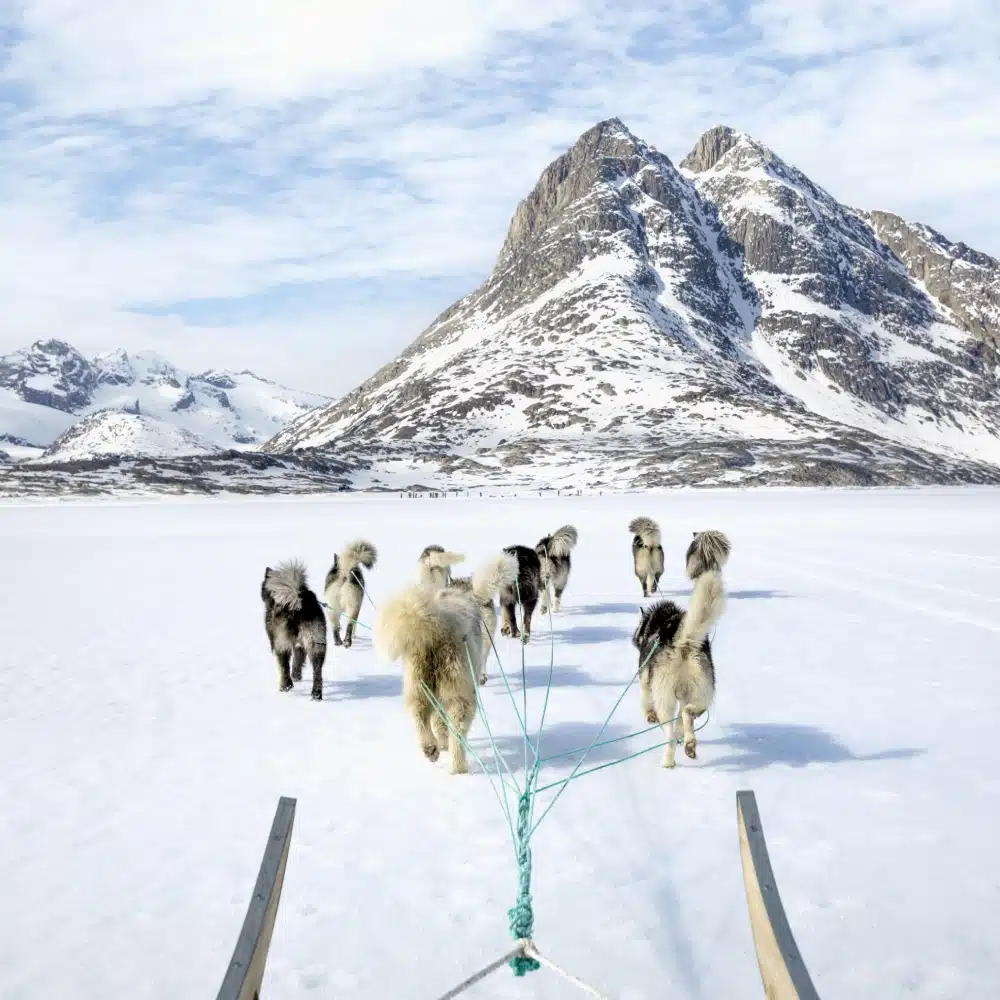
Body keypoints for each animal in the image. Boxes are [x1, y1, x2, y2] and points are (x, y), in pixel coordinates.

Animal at [262, 560, 328, 700]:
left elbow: (284, 666)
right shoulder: (299, 645)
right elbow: (298, 661)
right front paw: (297, 676)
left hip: (282, 642)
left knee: (284, 666)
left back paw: (285, 686)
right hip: (316, 642)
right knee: (317, 671)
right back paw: (316, 694)